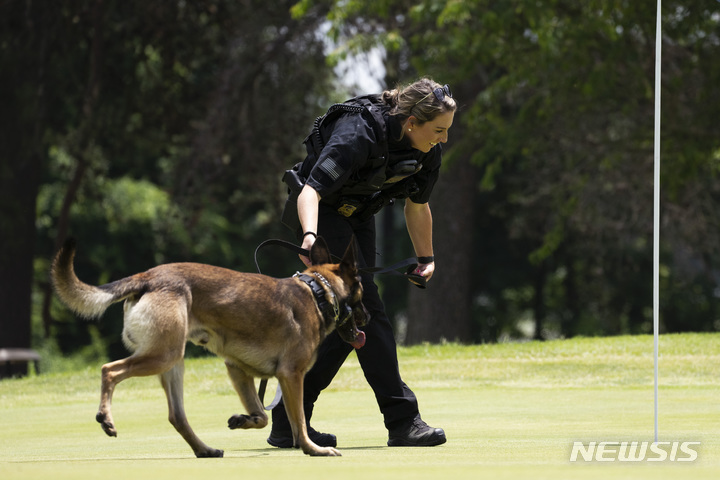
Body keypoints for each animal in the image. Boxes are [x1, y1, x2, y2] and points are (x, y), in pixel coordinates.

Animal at [50, 237, 366, 458]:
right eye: (362, 291)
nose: (369, 317)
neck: (318, 291)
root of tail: (148, 276)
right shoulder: (291, 376)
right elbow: (298, 420)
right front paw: (313, 449)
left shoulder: (237, 369)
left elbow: (263, 417)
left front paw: (244, 419)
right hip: (162, 356)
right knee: (109, 370)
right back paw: (106, 417)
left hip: (173, 362)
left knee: (176, 416)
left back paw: (205, 449)